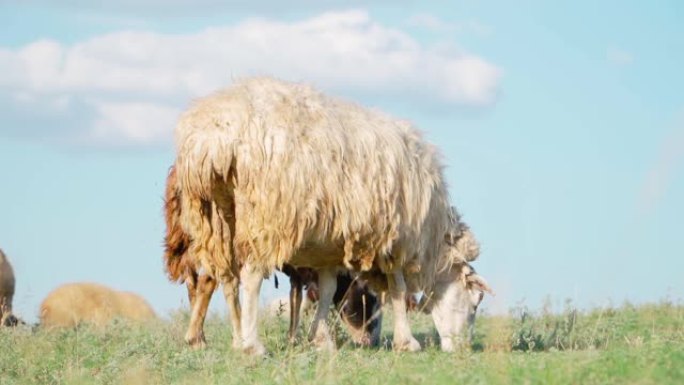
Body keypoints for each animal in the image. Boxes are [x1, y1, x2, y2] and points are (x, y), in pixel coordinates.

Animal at [174, 76, 488, 352]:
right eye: (474, 303)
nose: (463, 349)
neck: (432, 243)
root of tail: (214, 137)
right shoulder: (395, 239)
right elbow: (398, 289)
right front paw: (407, 342)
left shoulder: (326, 245)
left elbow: (327, 289)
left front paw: (320, 339)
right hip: (265, 217)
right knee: (250, 277)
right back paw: (253, 346)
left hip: (216, 219)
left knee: (227, 280)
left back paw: (238, 340)